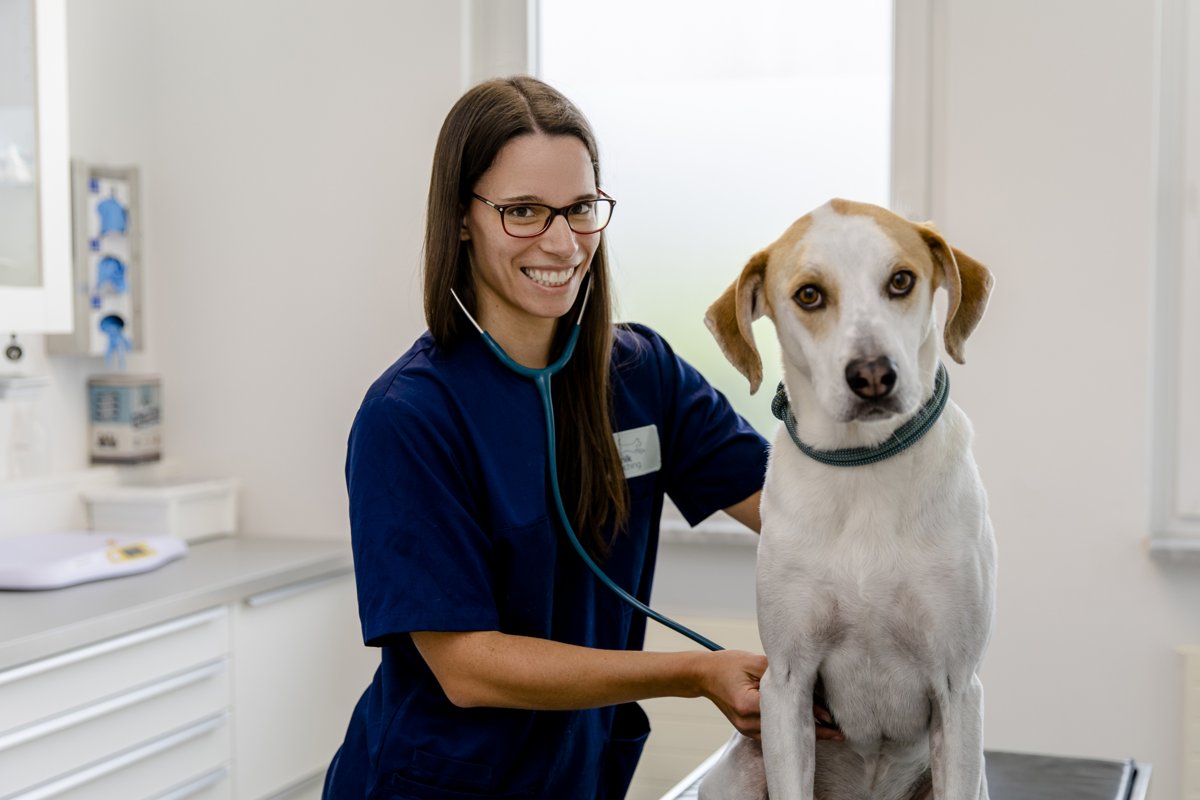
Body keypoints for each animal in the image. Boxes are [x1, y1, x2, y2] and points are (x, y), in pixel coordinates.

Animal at [700, 200, 998, 800]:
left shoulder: (958, 689)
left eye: (901, 280)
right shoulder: (787, 684)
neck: (863, 465)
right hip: (738, 772)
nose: (873, 375)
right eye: (809, 294)